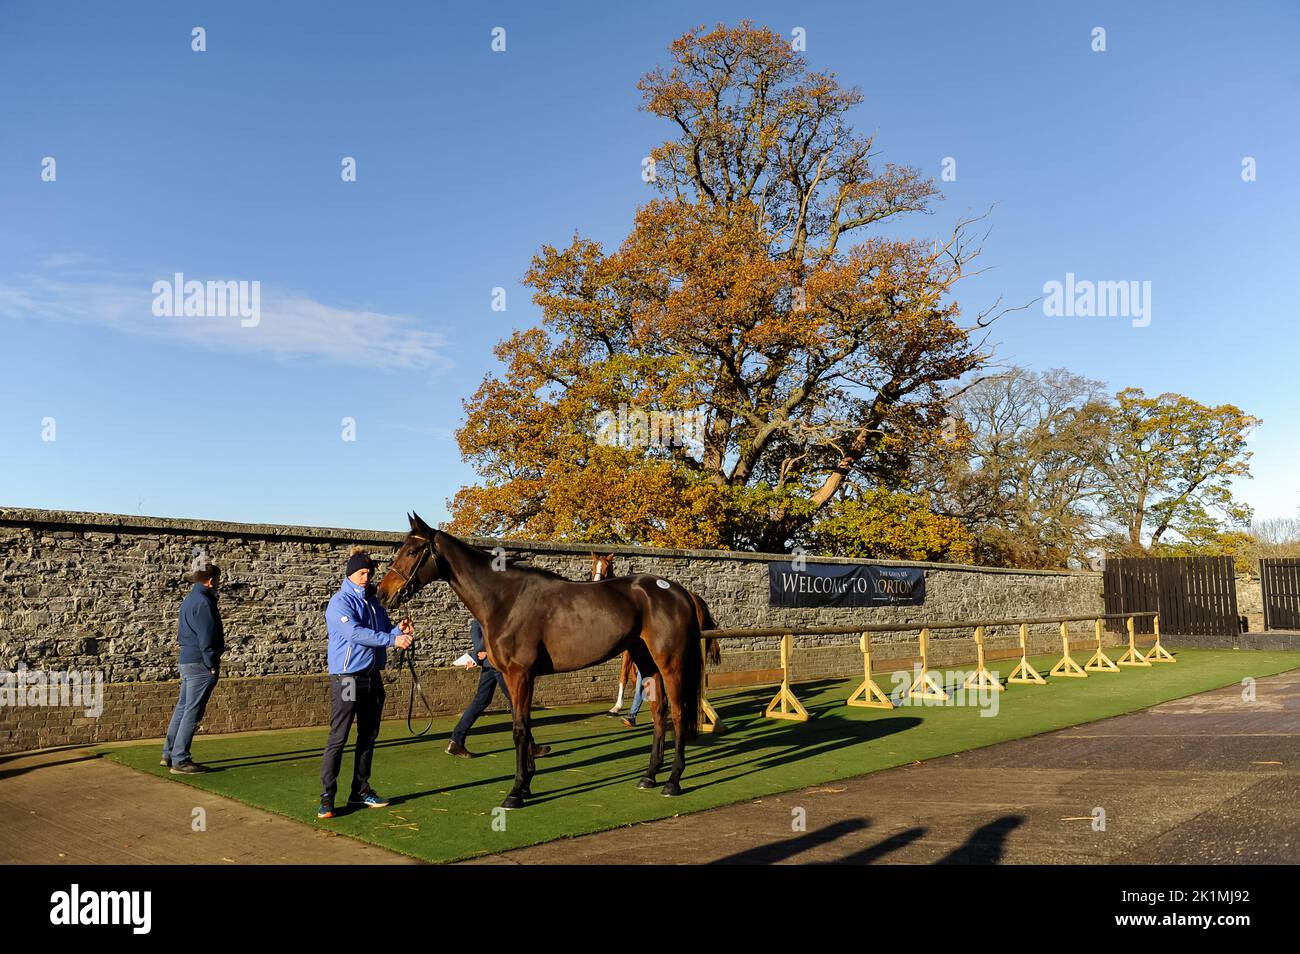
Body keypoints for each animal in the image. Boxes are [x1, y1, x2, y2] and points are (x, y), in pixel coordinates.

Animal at [377, 519, 702, 811]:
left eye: (411, 551)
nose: (382, 593)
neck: (505, 600)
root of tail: (677, 590)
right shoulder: (516, 677)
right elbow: (524, 724)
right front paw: (526, 783)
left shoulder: (520, 675)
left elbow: (520, 730)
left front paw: (516, 792)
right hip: (647, 662)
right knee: (659, 714)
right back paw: (649, 776)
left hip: (670, 664)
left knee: (677, 713)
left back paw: (673, 781)